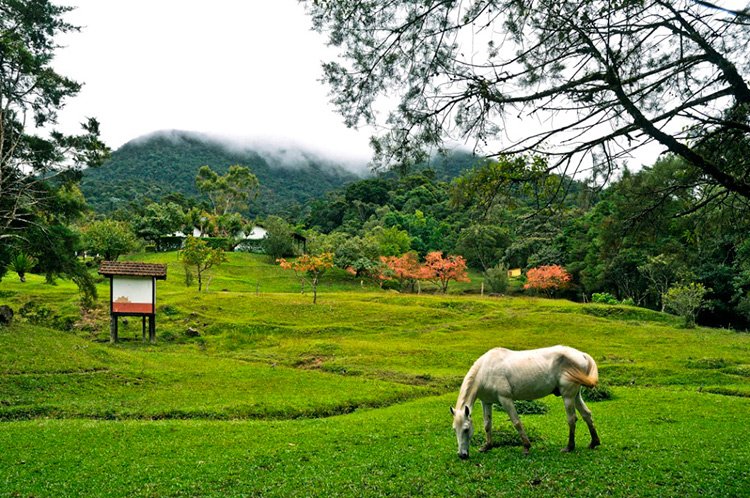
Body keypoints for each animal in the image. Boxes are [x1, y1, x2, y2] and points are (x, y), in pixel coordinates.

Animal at [450, 346, 604, 460]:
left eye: (466, 429)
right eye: (454, 429)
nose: (462, 455)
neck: (485, 370)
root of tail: (581, 355)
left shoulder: (505, 399)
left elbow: (517, 422)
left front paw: (526, 446)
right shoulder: (486, 402)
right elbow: (487, 425)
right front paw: (487, 446)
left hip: (568, 395)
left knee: (572, 419)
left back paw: (569, 447)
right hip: (575, 395)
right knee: (586, 414)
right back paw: (593, 442)